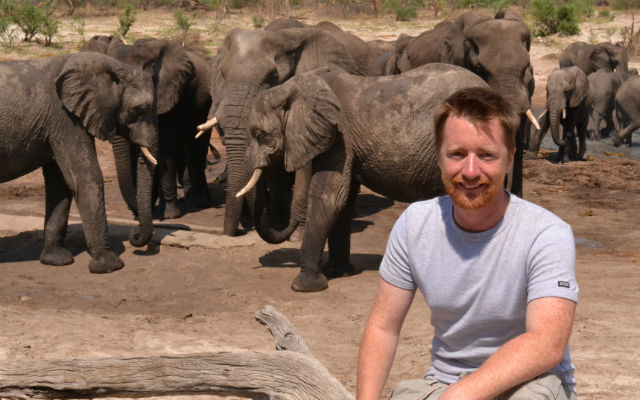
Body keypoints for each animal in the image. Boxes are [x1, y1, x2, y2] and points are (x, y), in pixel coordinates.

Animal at [0, 52, 159, 272]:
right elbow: (87, 178)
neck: (113, 66)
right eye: (140, 109)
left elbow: (61, 183)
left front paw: (57, 261)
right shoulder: (65, 118)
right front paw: (109, 266)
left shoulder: (56, 124)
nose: (134, 234)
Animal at [81, 36, 212, 220]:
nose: (135, 214)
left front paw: (170, 216)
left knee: (197, 149)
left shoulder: (172, 98)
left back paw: (201, 203)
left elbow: (166, 148)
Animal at [198, 25, 382, 238]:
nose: (230, 234)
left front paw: (295, 232)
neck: (286, 38)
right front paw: (279, 223)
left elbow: (305, 164)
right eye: (223, 75)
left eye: (272, 77)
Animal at [238, 64, 488, 292]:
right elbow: (345, 200)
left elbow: (329, 196)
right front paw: (338, 272)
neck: (292, 87)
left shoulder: (340, 138)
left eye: (259, 134)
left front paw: (304, 286)